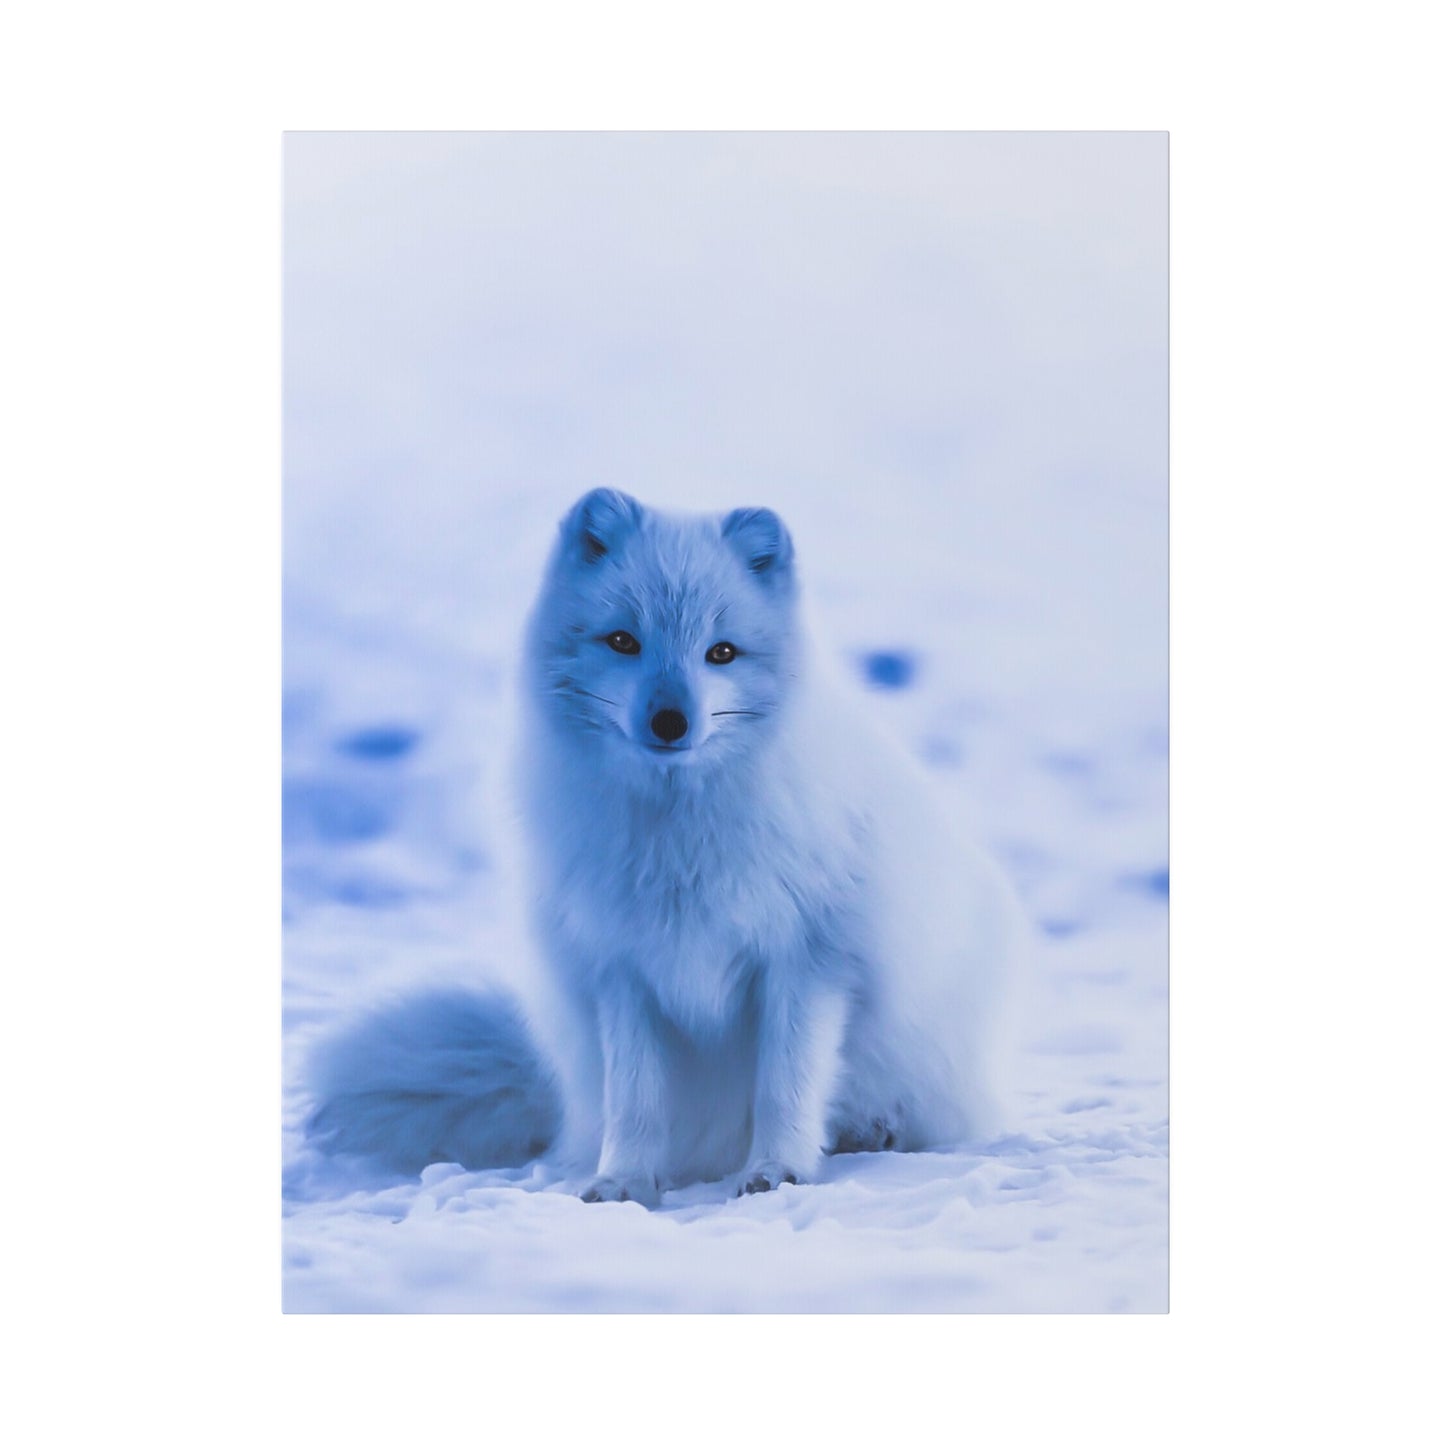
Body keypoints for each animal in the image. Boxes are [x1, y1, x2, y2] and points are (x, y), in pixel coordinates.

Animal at [306, 491, 1028, 1202]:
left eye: (722, 652)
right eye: (623, 640)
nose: (670, 720)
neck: (677, 836)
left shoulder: (808, 961)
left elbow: (785, 1085)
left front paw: (778, 1170)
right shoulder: (622, 969)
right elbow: (635, 1099)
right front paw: (622, 1180)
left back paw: (871, 1131)